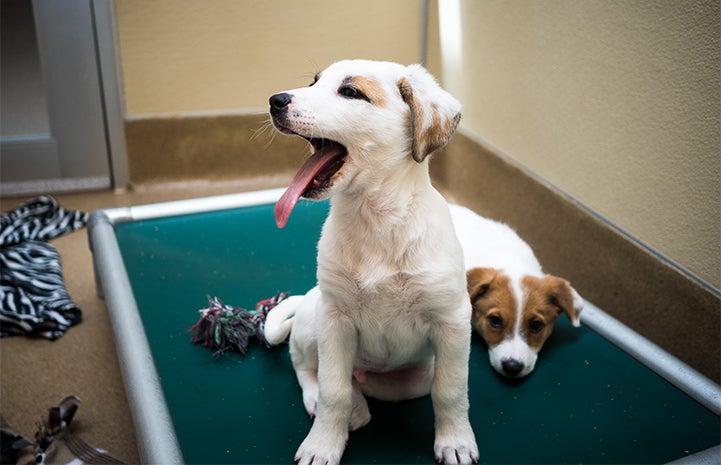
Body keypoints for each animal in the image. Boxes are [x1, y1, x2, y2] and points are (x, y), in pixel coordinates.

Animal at [264, 60, 478, 464]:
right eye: (314, 82)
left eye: (351, 92)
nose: (274, 100)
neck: (376, 221)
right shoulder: (335, 320)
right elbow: (332, 390)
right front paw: (322, 445)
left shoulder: (452, 322)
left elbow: (451, 390)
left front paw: (455, 441)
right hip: (314, 323)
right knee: (307, 366)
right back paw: (334, 403)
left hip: (415, 377)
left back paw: (360, 404)